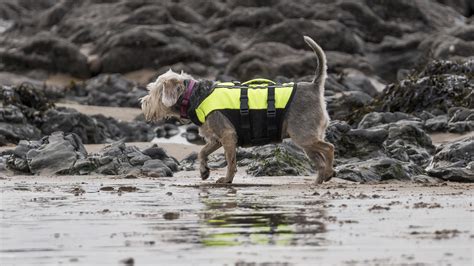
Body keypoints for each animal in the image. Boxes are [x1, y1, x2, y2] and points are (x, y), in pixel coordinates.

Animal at [141, 35, 334, 183]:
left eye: (153, 92)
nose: (142, 103)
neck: (194, 96)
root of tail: (314, 86)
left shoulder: (227, 136)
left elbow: (231, 161)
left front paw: (227, 179)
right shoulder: (215, 139)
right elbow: (202, 152)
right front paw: (204, 171)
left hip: (303, 136)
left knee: (329, 148)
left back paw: (329, 171)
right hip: (307, 141)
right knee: (320, 160)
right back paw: (320, 179)